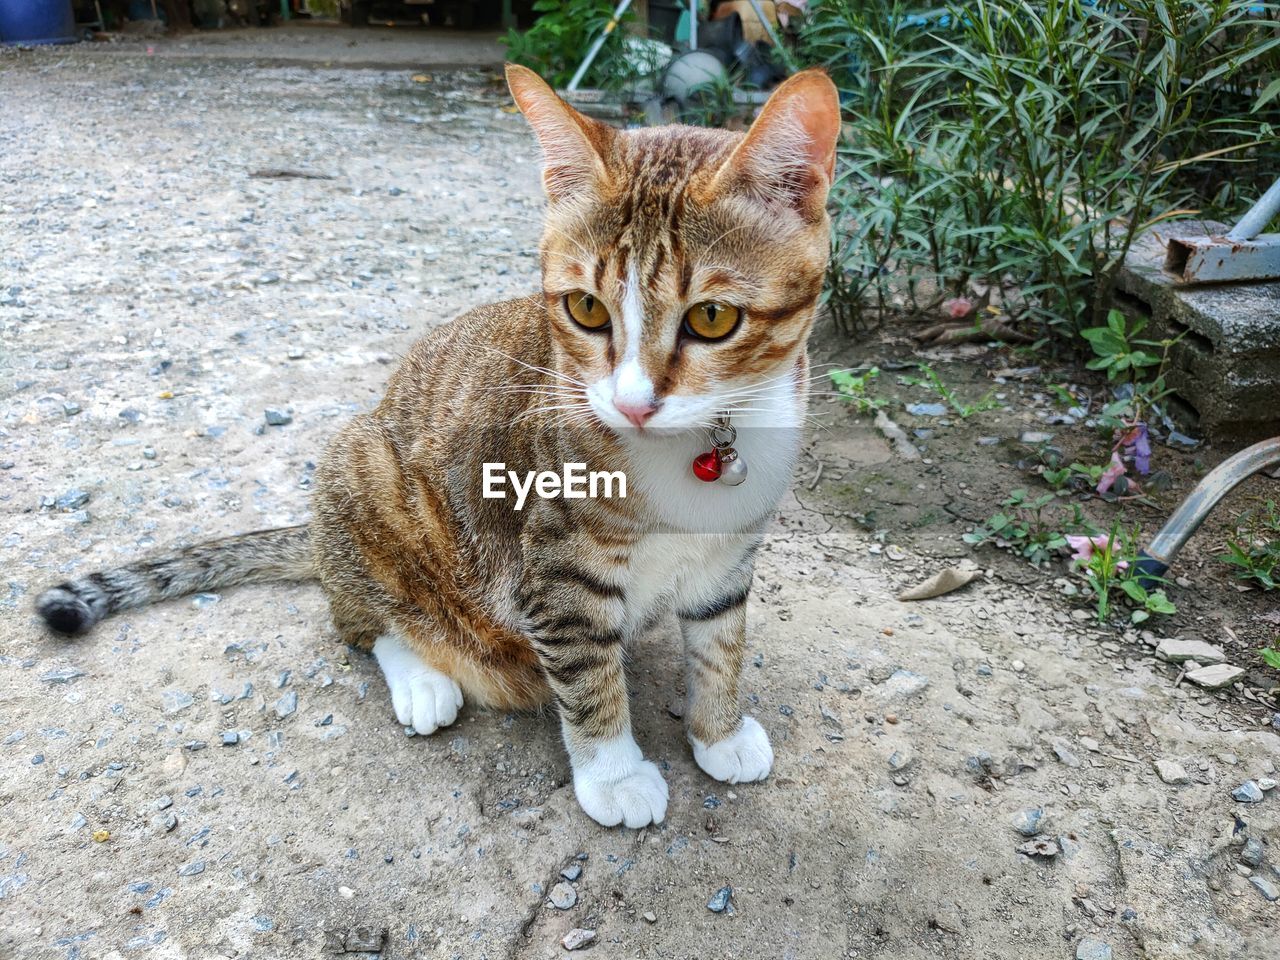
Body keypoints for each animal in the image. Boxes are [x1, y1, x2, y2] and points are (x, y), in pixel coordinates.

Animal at [32, 64, 839, 829]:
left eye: (712, 318)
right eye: (585, 307)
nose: (634, 403)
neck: (694, 453)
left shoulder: (730, 551)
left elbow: (720, 639)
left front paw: (719, 731)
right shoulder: (556, 569)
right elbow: (587, 673)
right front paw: (614, 772)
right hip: (361, 472)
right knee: (363, 618)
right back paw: (422, 675)